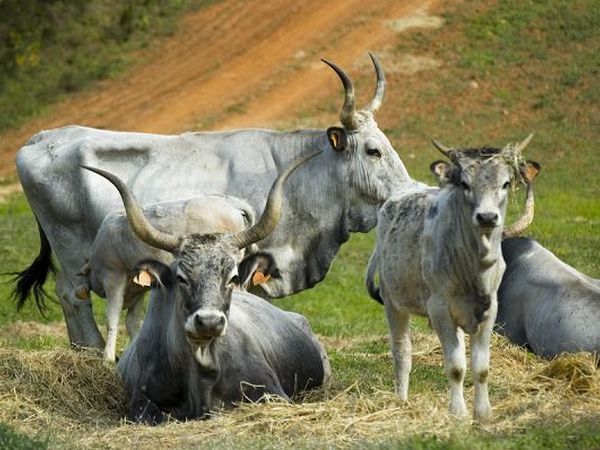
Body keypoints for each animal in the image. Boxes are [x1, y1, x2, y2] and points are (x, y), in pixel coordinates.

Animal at [366, 135, 540, 420]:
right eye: (465, 184)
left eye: (505, 183)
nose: (487, 217)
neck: (474, 266)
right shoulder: (440, 309)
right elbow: (456, 367)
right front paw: (458, 413)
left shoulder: (490, 310)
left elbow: (481, 367)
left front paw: (483, 412)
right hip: (394, 303)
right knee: (402, 351)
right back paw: (401, 399)